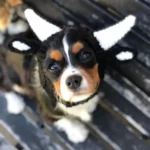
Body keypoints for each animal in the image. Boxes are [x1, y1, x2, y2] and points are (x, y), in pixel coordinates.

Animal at [7, 8, 136, 143]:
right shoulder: (47, 112)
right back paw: (15, 103)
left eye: (86, 55)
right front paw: (78, 133)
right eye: (53, 67)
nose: (73, 81)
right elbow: (66, 120)